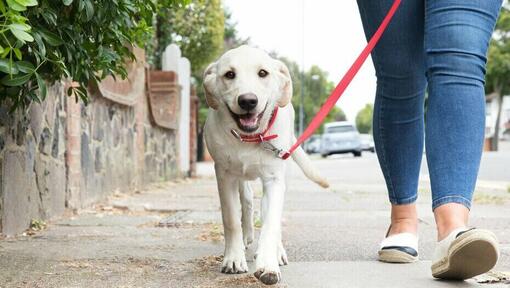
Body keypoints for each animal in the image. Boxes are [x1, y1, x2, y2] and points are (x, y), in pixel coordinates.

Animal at [202, 46, 326, 284]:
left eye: (263, 73)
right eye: (229, 74)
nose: (248, 100)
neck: (250, 138)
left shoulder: (274, 180)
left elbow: (271, 223)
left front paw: (268, 265)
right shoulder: (224, 175)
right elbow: (231, 220)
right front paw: (234, 258)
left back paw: (276, 251)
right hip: (240, 177)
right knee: (248, 200)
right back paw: (247, 236)